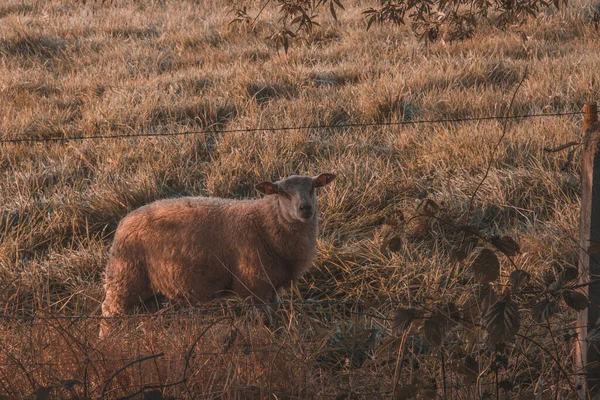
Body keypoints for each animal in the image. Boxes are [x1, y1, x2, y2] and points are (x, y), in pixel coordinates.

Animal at [100, 173, 336, 336]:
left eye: (313, 187)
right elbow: (265, 320)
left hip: (150, 288)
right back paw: (108, 343)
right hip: (125, 278)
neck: (264, 221)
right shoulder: (255, 286)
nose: (305, 208)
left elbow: (275, 314)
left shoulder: (271, 286)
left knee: (147, 315)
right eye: (283, 193)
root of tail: (124, 221)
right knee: (110, 313)